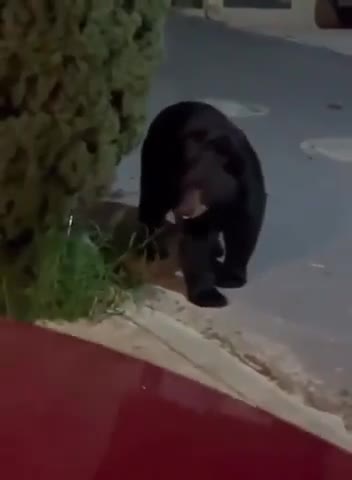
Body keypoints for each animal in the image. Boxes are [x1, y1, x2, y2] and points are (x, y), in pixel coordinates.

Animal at [138, 101, 266, 308]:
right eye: (184, 183)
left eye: (201, 186)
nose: (182, 209)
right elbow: (196, 243)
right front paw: (210, 296)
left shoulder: (248, 195)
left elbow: (244, 233)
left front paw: (232, 277)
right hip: (155, 162)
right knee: (152, 203)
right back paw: (151, 248)